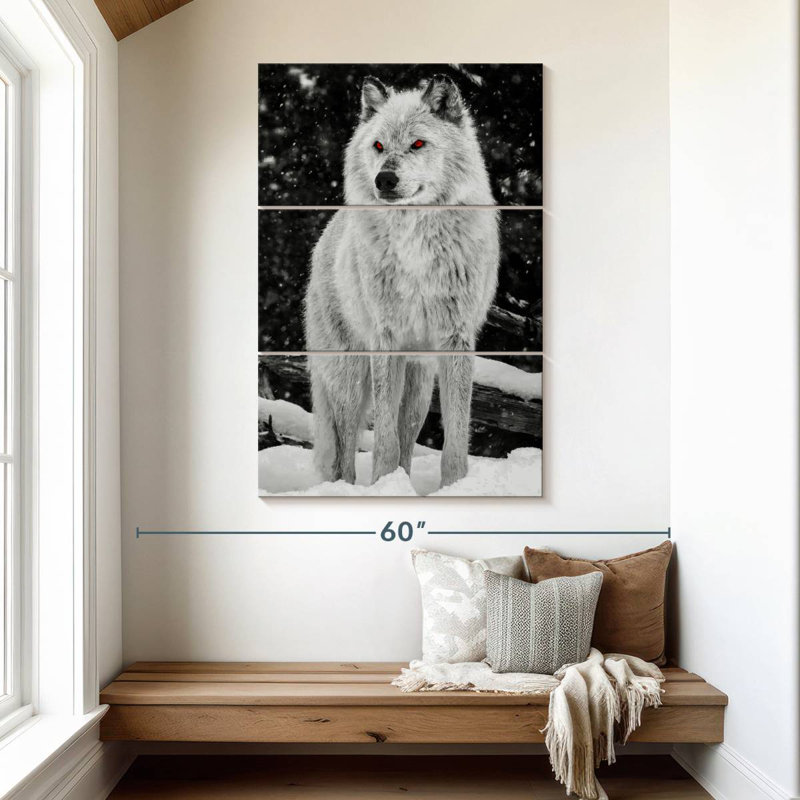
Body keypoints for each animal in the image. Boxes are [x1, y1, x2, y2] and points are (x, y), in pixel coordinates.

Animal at [304, 74, 499, 489]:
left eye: (418, 144)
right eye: (378, 146)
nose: (385, 179)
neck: (416, 241)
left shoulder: (455, 339)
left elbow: (455, 436)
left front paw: (453, 488)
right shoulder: (386, 338)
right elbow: (384, 439)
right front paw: (382, 482)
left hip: (420, 381)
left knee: (407, 430)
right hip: (349, 377)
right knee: (345, 447)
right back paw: (348, 489)